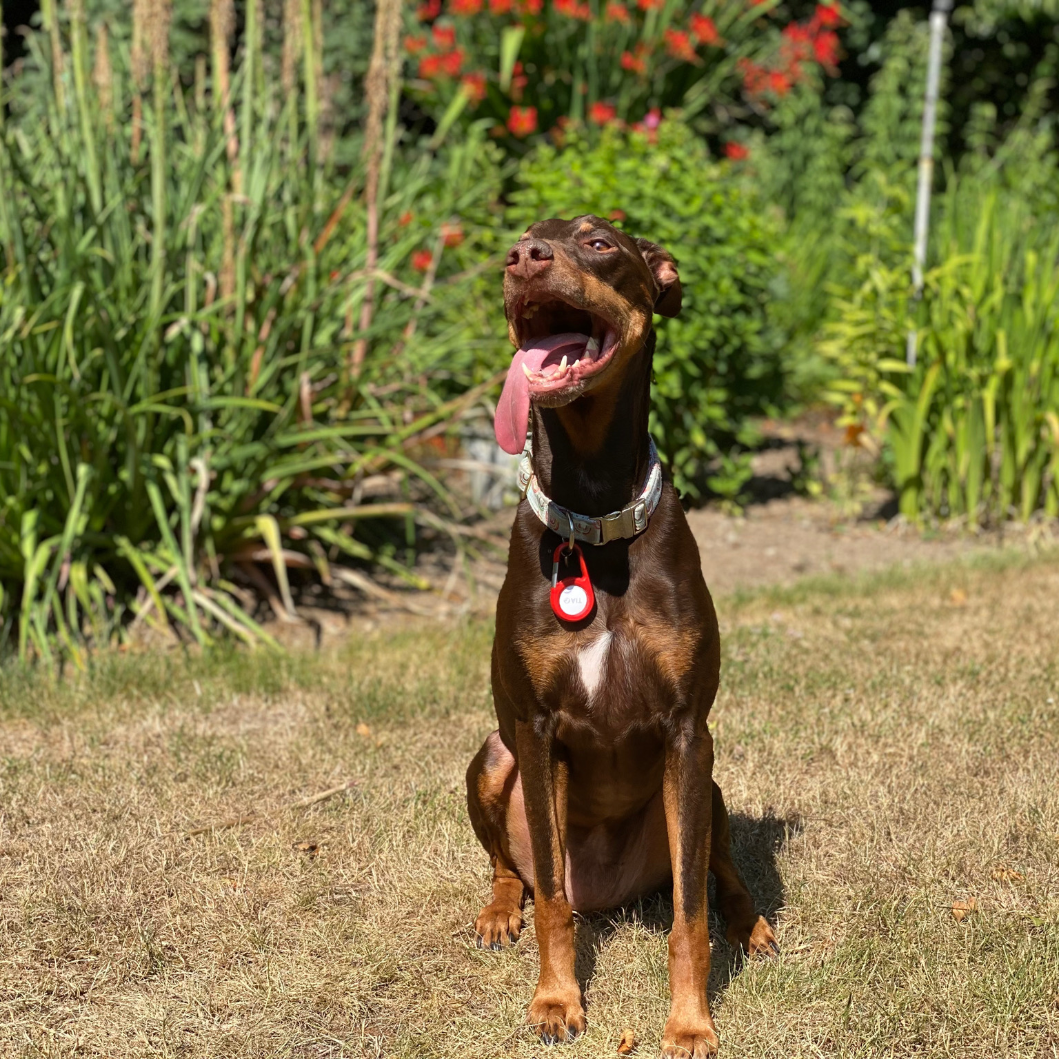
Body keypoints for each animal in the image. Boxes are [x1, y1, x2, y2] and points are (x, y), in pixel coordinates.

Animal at [465, 214, 779, 1059]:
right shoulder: (536, 730)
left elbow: (690, 915)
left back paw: (753, 923)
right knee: (518, 870)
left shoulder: (687, 731)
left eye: (598, 241)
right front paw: (554, 1001)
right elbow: (550, 901)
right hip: (492, 757)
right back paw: (498, 909)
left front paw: (690, 1021)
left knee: (719, 872)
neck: (594, 516)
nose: (522, 258)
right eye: (520, 236)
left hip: (706, 789)